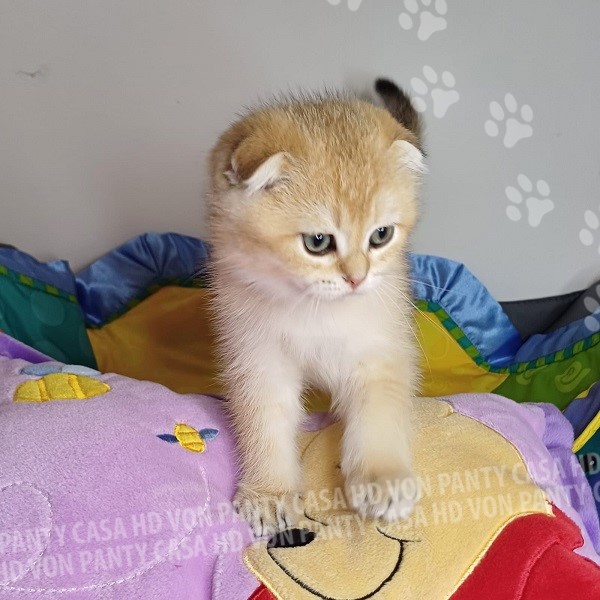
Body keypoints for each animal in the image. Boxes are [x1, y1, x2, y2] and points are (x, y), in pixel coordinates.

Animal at [207, 78, 425, 536]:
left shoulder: (381, 350)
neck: (315, 311)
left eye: (381, 235)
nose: (357, 278)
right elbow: (265, 423)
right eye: (318, 242)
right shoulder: (257, 360)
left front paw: (382, 479)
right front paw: (269, 492)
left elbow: (380, 410)